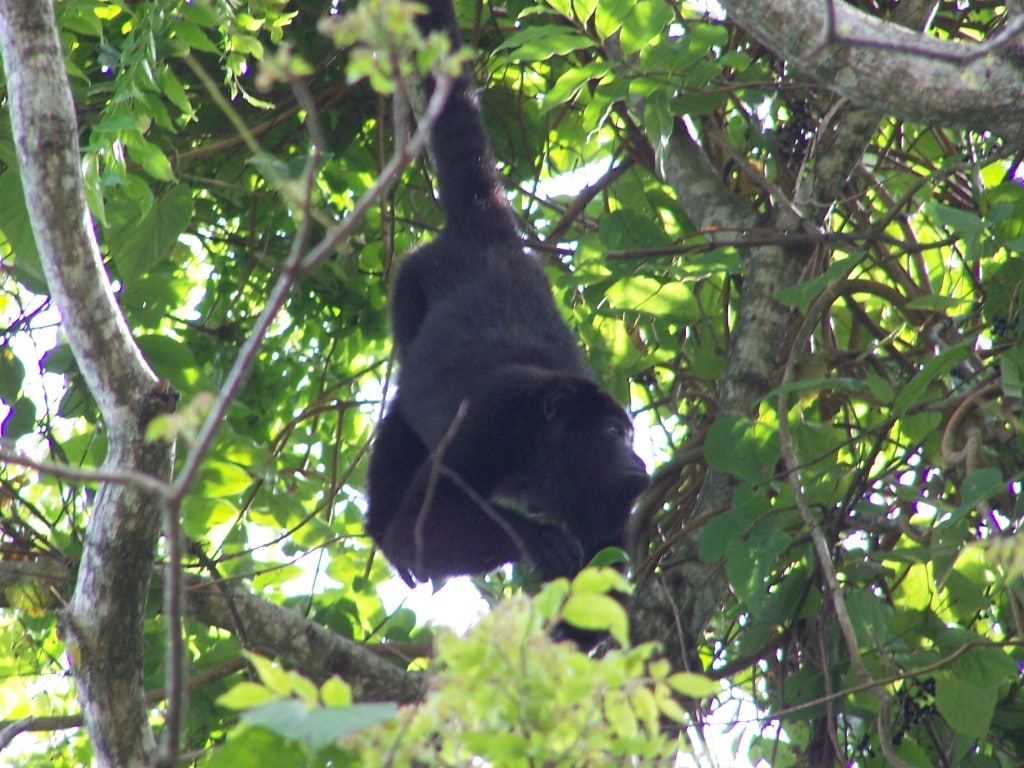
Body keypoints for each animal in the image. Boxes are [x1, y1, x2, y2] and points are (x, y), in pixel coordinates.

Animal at [365, 0, 649, 587]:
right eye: (613, 432)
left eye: (631, 436)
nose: (638, 462)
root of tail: (490, 236)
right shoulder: (491, 419)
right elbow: (417, 533)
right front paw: (536, 538)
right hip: (412, 279)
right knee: (402, 413)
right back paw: (380, 523)